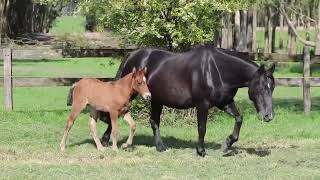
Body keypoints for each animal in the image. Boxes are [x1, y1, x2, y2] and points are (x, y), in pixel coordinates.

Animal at [99, 45, 276, 156]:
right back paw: (106, 140)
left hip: (156, 100)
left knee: (154, 121)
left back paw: (160, 147)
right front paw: (201, 151)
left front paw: (227, 144)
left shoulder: (224, 102)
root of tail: (133, 55)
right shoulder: (202, 105)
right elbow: (202, 127)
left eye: (272, 87)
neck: (216, 70)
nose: (268, 116)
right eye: (261, 88)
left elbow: (239, 119)